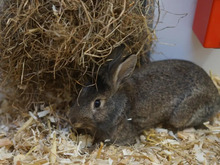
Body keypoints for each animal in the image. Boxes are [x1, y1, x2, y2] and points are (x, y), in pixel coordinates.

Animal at [69, 45, 220, 146]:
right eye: (82, 91)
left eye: (97, 103)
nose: (72, 120)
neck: (121, 106)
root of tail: (216, 97)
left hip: (184, 113)